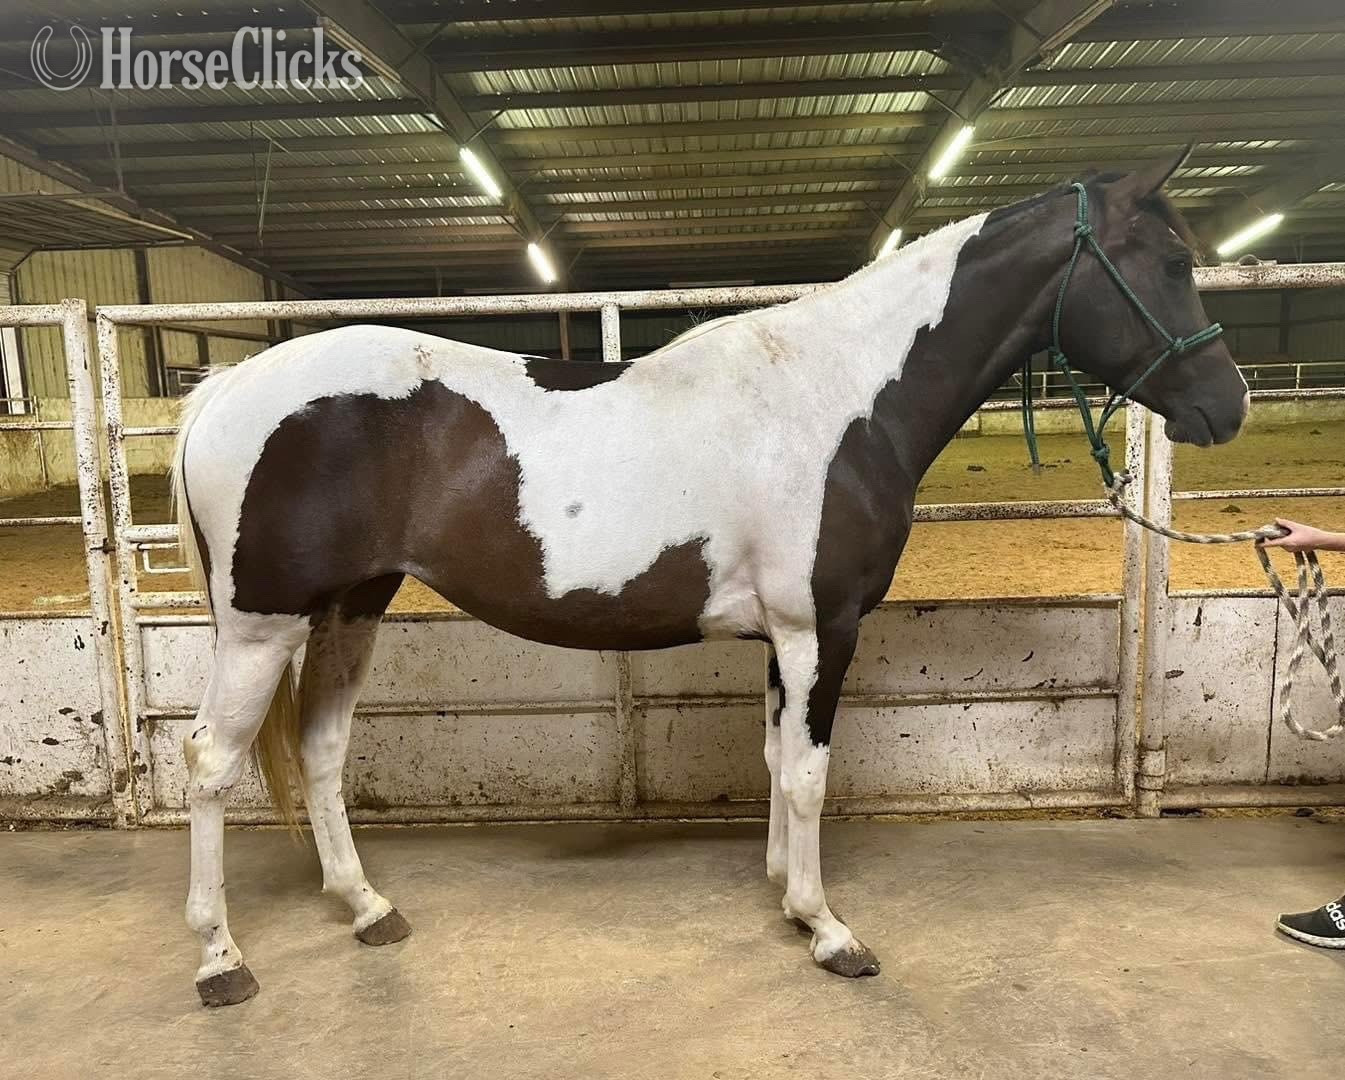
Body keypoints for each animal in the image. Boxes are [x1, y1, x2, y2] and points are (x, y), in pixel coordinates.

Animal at [171, 149, 1249, 1006]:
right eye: (1171, 263)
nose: (1226, 405)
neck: (840, 398)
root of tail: (225, 390)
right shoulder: (821, 630)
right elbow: (810, 774)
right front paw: (829, 930)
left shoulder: (784, 639)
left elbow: (775, 761)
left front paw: (785, 897)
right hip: (262, 625)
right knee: (210, 764)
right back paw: (221, 960)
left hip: (351, 608)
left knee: (320, 749)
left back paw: (366, 908)